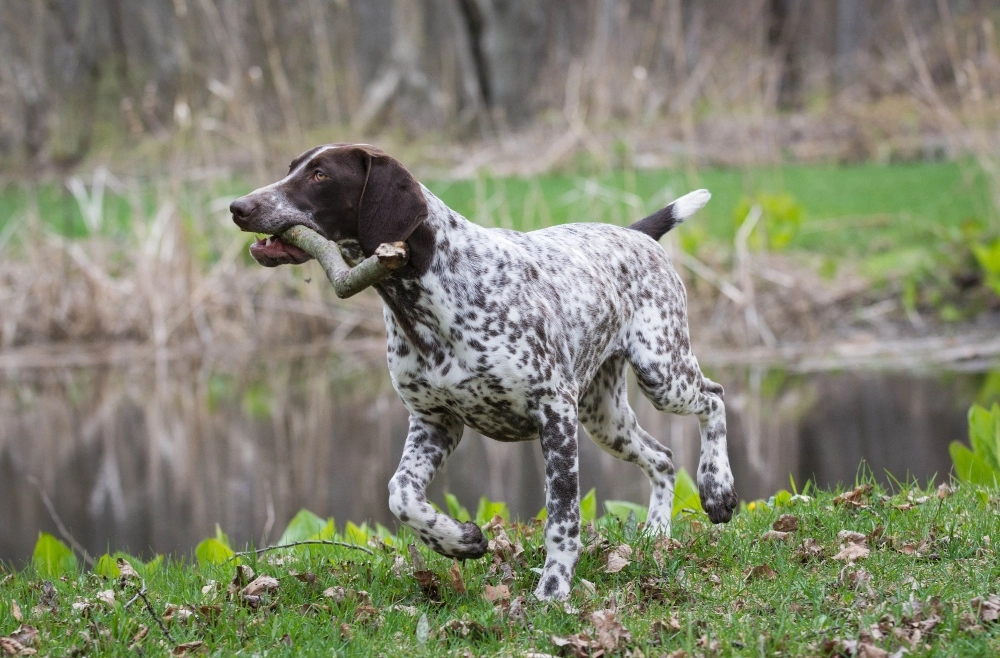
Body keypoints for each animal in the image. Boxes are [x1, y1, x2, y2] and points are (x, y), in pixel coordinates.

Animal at [230, 145, 740, 600]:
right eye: (292, 168)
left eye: (321, 175)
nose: (239, 207)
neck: (426, 292)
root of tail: (635, 233)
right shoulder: (435, 423)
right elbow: (401, 495)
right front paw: (458, 540)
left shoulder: (554, 413)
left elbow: (562, 517)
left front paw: (553, 590)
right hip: (604, 416)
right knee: (663, 457)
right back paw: (656, 533)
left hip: (660, 373)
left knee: (714, 397)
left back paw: (717, 489)